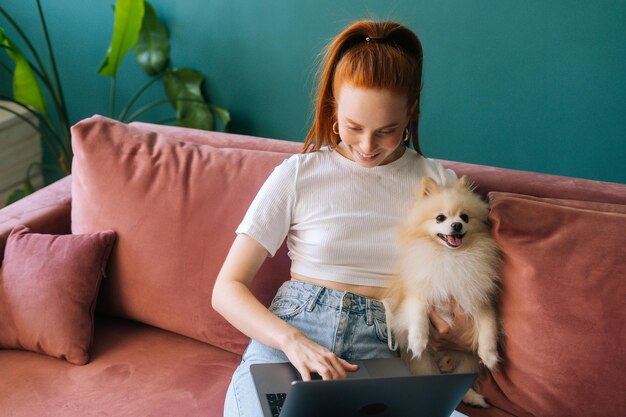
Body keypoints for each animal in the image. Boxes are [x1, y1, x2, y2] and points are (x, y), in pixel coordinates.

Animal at [382, 175, 500, 406]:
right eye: (440, 218)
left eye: (465, 217)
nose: (456, 224)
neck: (451, 257)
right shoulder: (415, 293)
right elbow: (418, 312)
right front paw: (418, 340)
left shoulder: (478, 300)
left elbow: (488, 326)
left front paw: (490, 356)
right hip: (424, 366)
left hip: (466, 363)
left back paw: (472, 397)